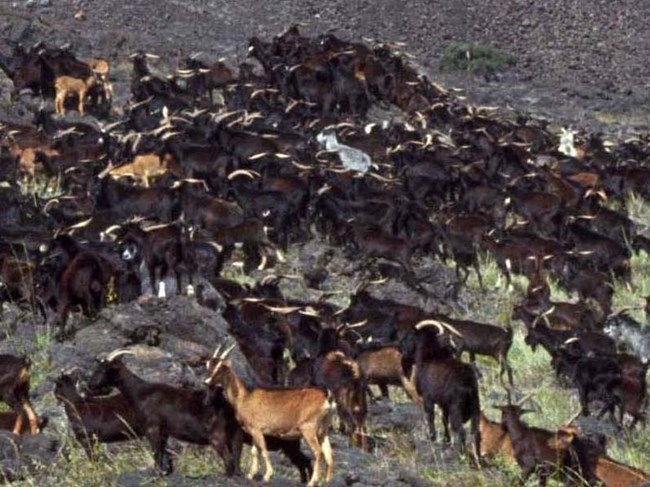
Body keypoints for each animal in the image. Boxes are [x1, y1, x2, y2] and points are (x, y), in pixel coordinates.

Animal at [205, 344, 335, 486]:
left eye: (221, 367)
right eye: (208, 365)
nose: (206, 381)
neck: (244, 397)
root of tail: (327, 398)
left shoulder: (257, 429)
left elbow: (263, 450)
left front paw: (267, 475)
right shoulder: (253, 431)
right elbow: (254, 451)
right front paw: (251, 475)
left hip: (308, 428)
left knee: (318, 452)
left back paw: (312, 482)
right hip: (323, 430)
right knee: (329, 454)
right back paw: (327, 481)